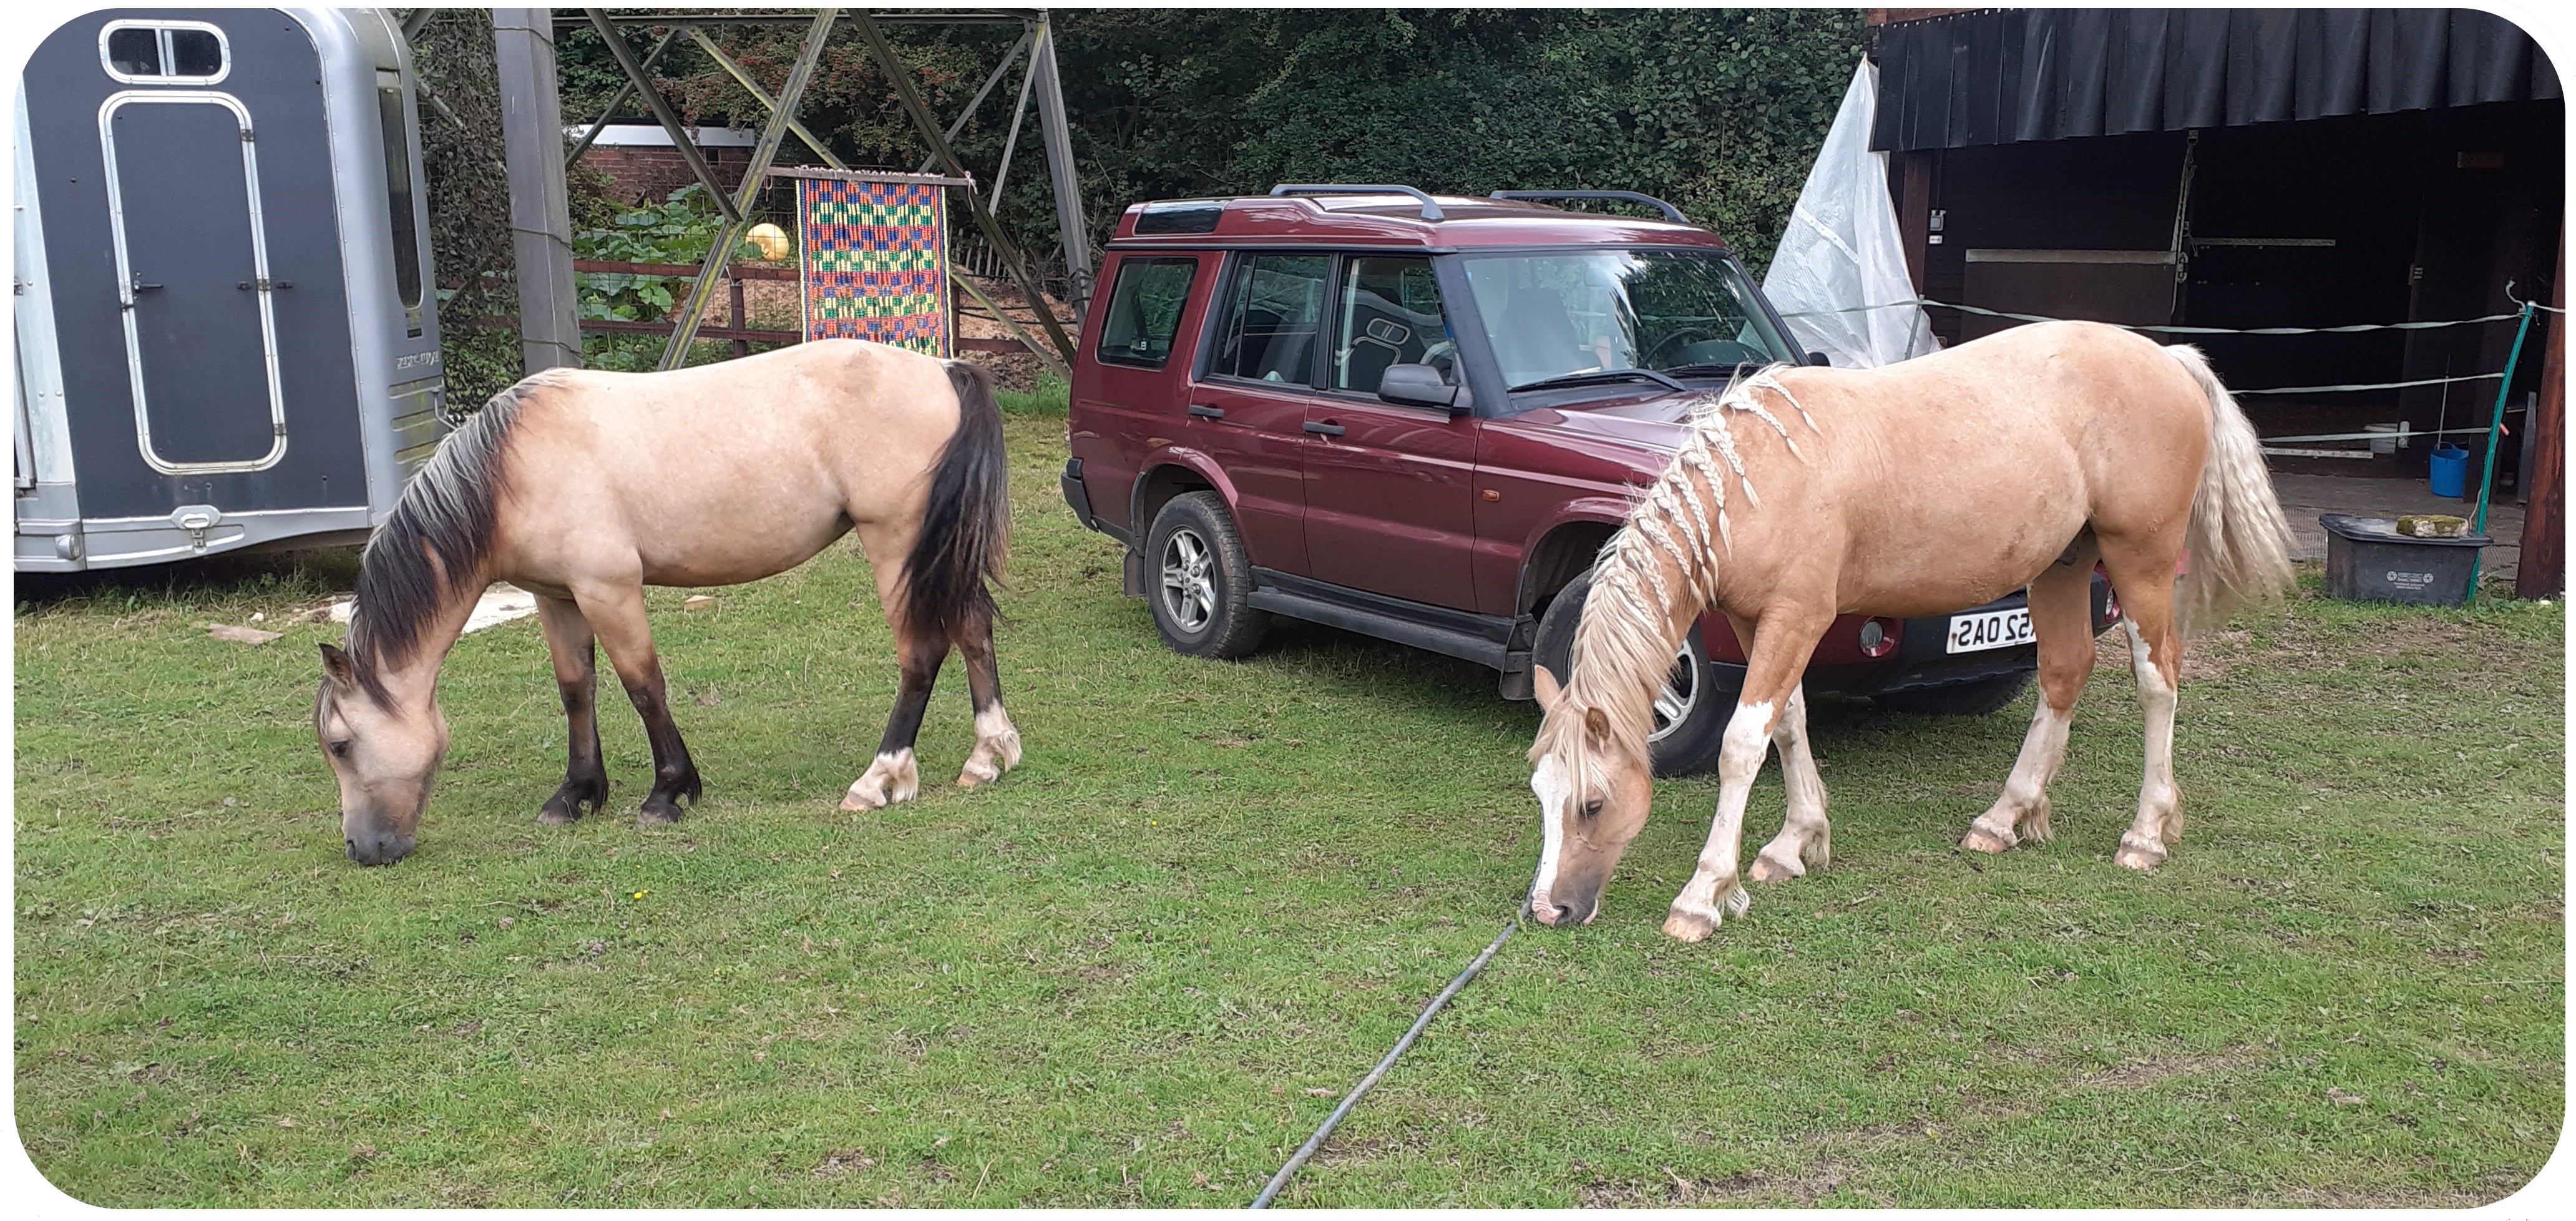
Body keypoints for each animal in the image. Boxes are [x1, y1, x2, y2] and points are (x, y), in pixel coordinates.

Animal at [311, 337, 1015, 865]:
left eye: (340, 745)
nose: (362, 850)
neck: (511, 470)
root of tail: (945, 369)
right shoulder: (557, 597)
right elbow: (577, 690)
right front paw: (575, 795)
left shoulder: (609, 589)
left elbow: (643, 686)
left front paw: (666, 794)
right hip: (937, 554)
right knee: (973, 629)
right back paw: (987, 758)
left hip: (896, 544)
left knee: (921, 652)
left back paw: (879, 780)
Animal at [1525, 319, 2298, 938]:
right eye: (1540, 793)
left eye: (1592, 803)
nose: (1548, 909)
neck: (1754, 480)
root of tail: (2170, 358)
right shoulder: (1754, 621)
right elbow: (1790, 723)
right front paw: (1794, 843)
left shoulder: (1798, 617)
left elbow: (1742, 744)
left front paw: (1705, 893)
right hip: (2064, 564)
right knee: (2063, 670)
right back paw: (2003, 819)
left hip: (2140, 562)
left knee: (2157, 680)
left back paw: (2145, 834)